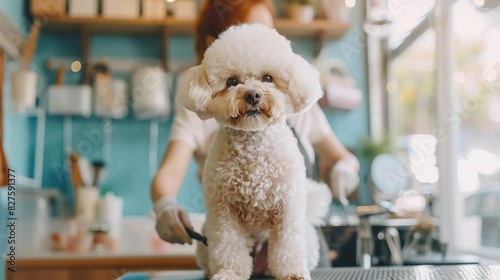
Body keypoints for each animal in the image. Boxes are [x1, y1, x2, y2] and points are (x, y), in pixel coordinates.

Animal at [176, 24, 332, 280]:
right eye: (231, 81)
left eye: (267, 78)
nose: (253, 94)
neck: (253, 148)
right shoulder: (223, 212)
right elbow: (228, 247)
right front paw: (229, 273)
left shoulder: (287, 207)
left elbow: (288, 246)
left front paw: (292, 273)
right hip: (205, 235)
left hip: (307, 239)